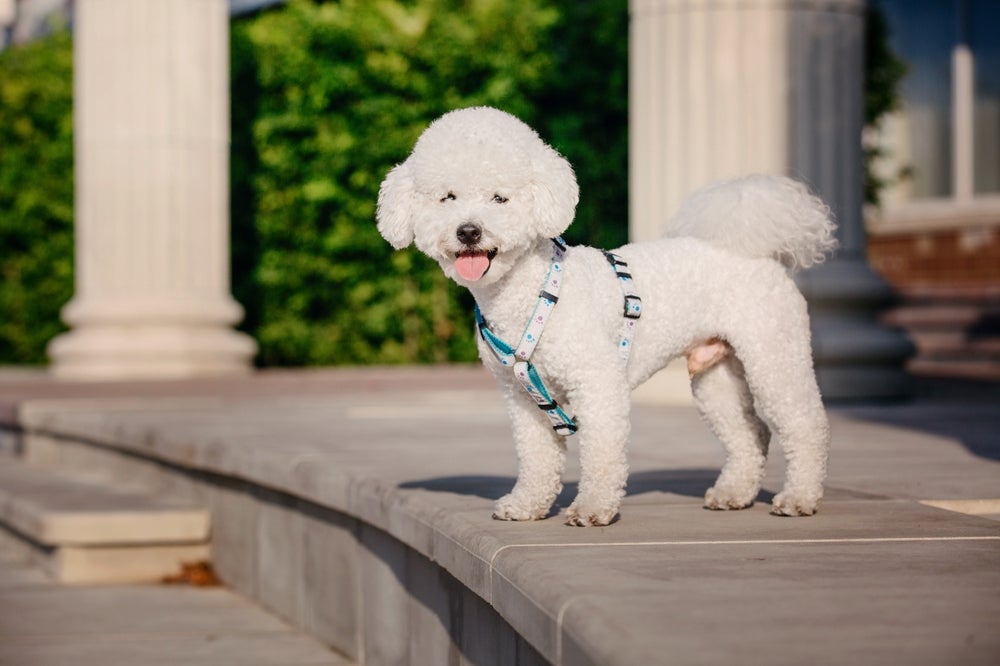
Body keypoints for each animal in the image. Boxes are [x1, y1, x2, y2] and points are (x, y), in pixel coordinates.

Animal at [376, 106, 836, 528]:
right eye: (448, 197)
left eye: (500, 198)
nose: (469, 231)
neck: (531, 294)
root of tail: (756, 250)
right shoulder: (522, 398)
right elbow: (537, 457)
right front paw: (527, 505)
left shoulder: (596, 383)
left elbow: (601, 454)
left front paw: (593, 509)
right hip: (717, 375)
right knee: (750, 433)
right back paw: (734, 494)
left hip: (773, 356)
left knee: (805, 424)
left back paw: (800, 497)